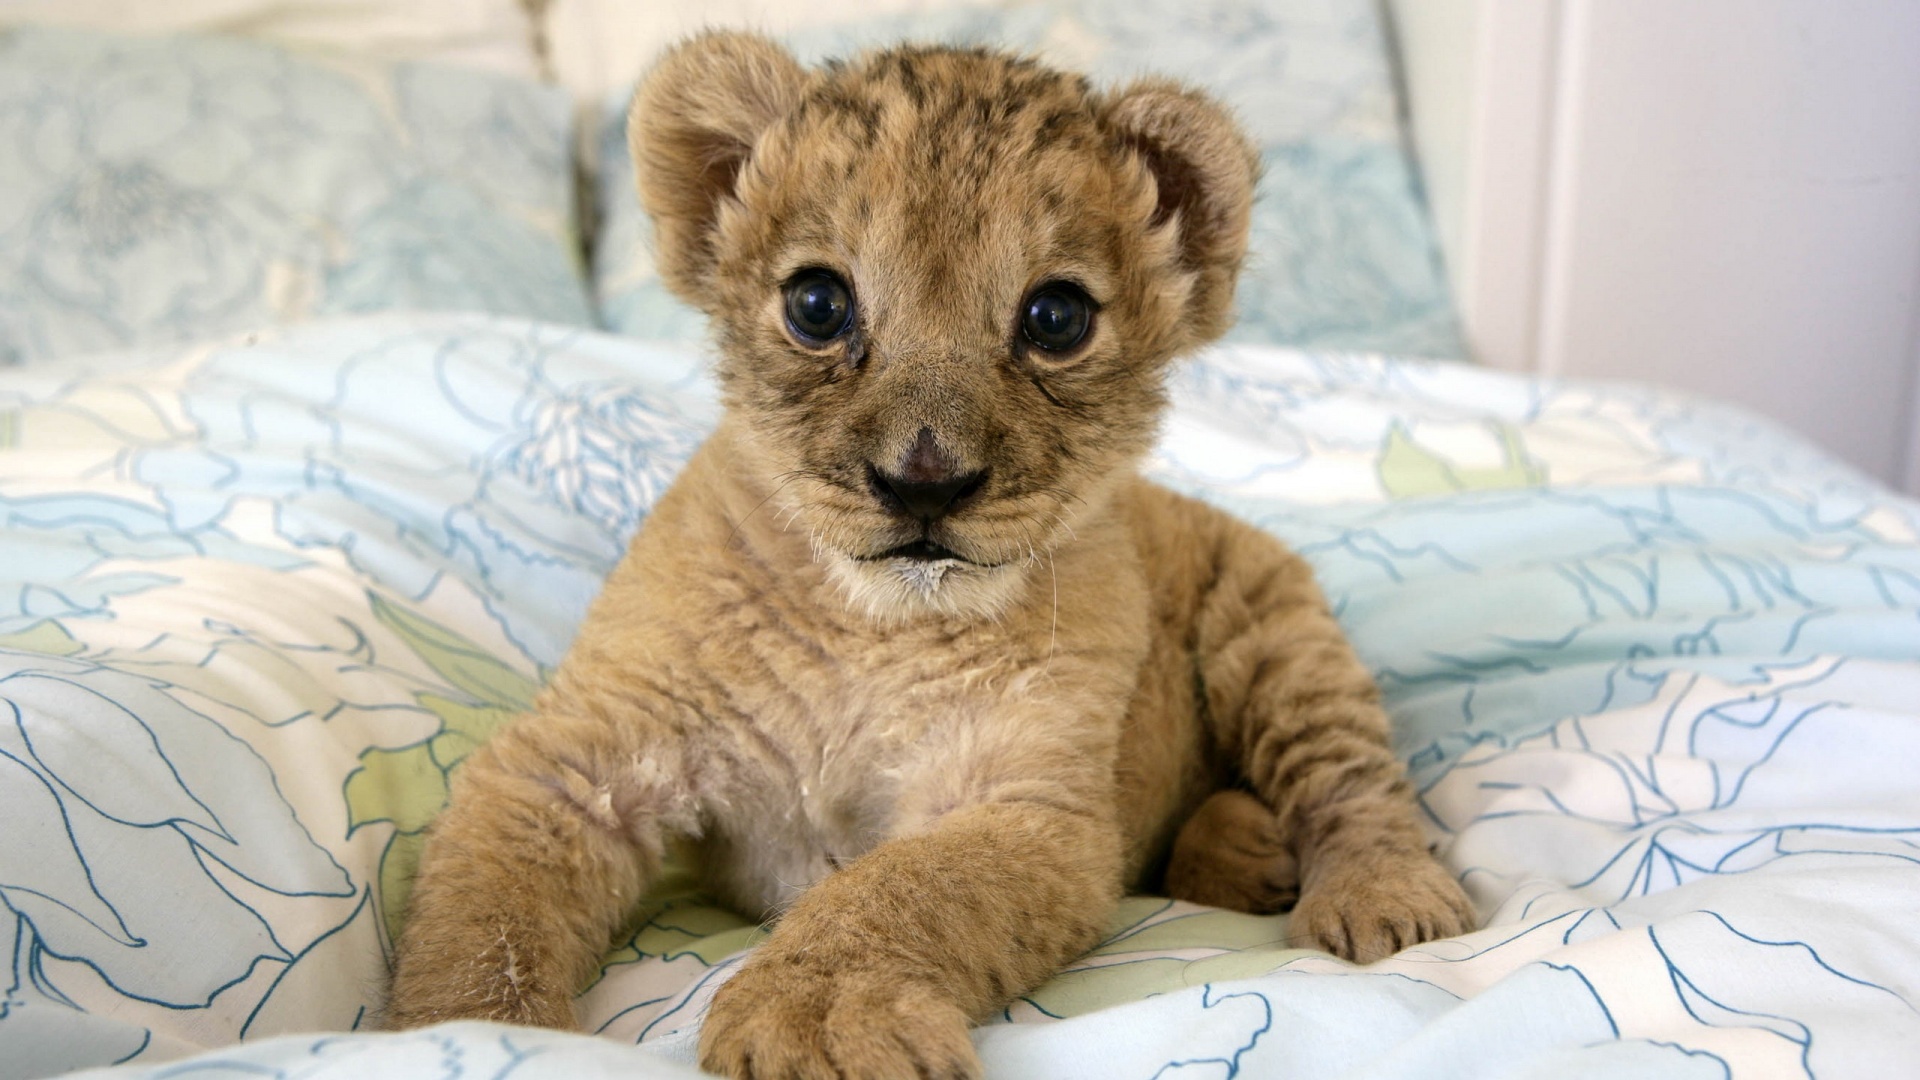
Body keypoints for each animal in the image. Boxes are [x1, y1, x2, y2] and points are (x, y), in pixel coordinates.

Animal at [388, 32, 1476, 1079]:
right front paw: (473, 1038)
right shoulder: (579, 762)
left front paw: (814, 1021)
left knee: (1351, 778)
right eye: (817, 305)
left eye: (1056, 318)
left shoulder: (1028, 804)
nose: (924, 484)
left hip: (1277, 633)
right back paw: (1244, 850)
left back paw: (1378, 897)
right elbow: (482, 927)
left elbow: (901, 889)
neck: (868, 624)